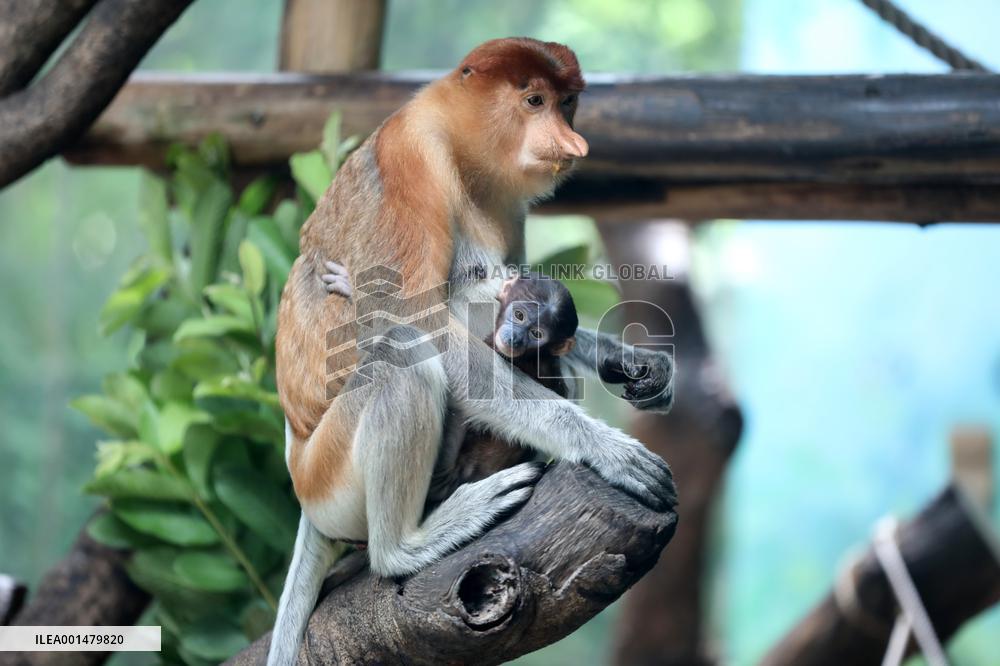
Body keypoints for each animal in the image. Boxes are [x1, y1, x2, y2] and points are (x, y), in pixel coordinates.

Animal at [269, 38, 676, 666]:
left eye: (568, 102)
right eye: (534, 101)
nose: (573, 144)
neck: (464, 150)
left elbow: (522, 287)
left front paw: (636, 365)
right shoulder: (412, 156)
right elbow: (421, 321)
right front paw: (609, 450)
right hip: (327, 476)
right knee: (403, 354)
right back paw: (409, 544)